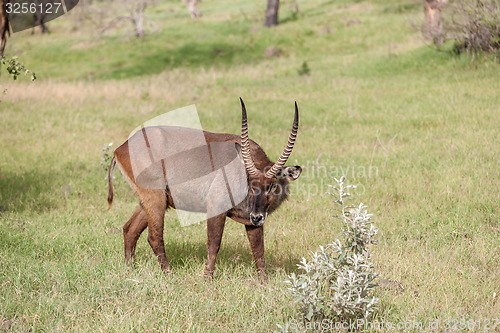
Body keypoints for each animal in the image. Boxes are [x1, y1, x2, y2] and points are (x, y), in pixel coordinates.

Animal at [107, 98, 300, 280]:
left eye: (273, 184)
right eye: (250, 182)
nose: (257, 216)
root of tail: (120, 148)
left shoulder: (250, 220)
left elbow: (258, 249)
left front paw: (263, 283)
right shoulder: (216, 207)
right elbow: (214, 243)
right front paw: (208, 278)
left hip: (153, 200)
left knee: (129, 229)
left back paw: (130, 270)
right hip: (156, 198)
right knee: (153, 237)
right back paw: (169, 273)